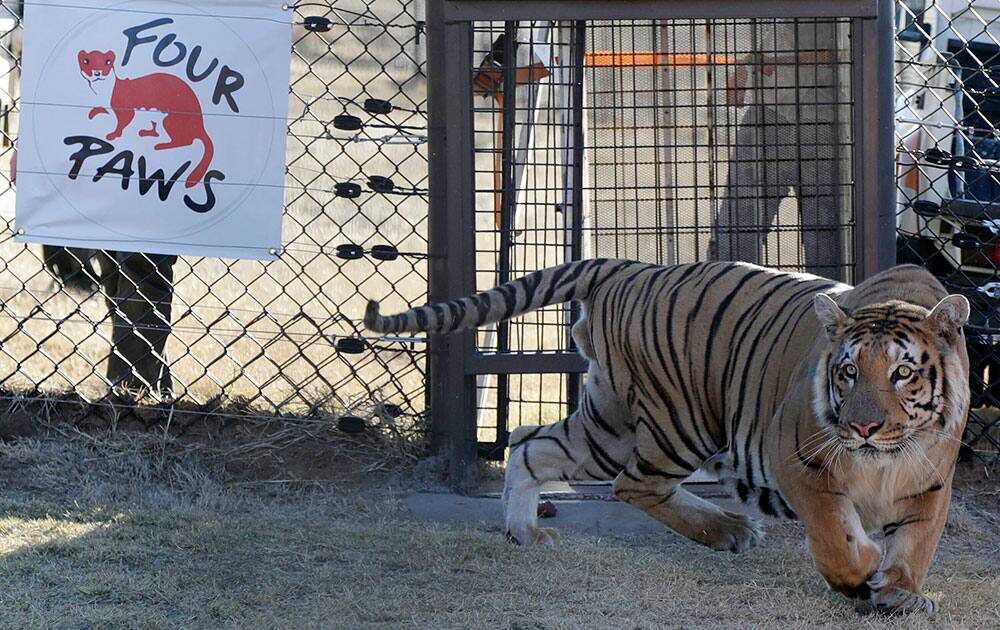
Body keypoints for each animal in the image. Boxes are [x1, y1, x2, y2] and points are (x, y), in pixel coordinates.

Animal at [366, 260, 968, 616]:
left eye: (902, 373)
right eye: (848, 372)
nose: (864, 427)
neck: (886, 459)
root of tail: (630, 267)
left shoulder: (929, 485)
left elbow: (916, 544)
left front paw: (901, 592)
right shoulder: (798, 460)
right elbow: (838, 536)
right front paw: (861, 574)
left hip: (606, 422)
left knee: (531, 442)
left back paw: (525, 533)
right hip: (678, 422)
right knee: (632, 483)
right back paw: (728, 530)